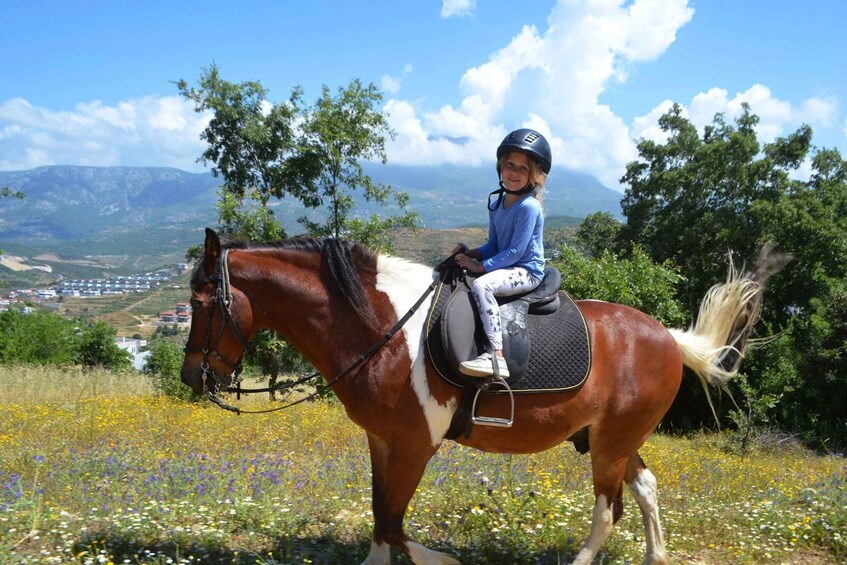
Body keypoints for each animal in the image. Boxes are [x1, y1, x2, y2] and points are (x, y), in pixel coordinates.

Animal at [179, 228, 780, 564]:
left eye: (202, 302)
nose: (191, 378)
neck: (382, 326)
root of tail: (670, 339)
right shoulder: (382, 442)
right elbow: (379, 519)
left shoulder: (416, 445)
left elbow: (394, 524)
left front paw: (445, 561)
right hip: (612, 437)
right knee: (645, 489)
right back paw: (656, 557)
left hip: (609, 444)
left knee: (607, 511)